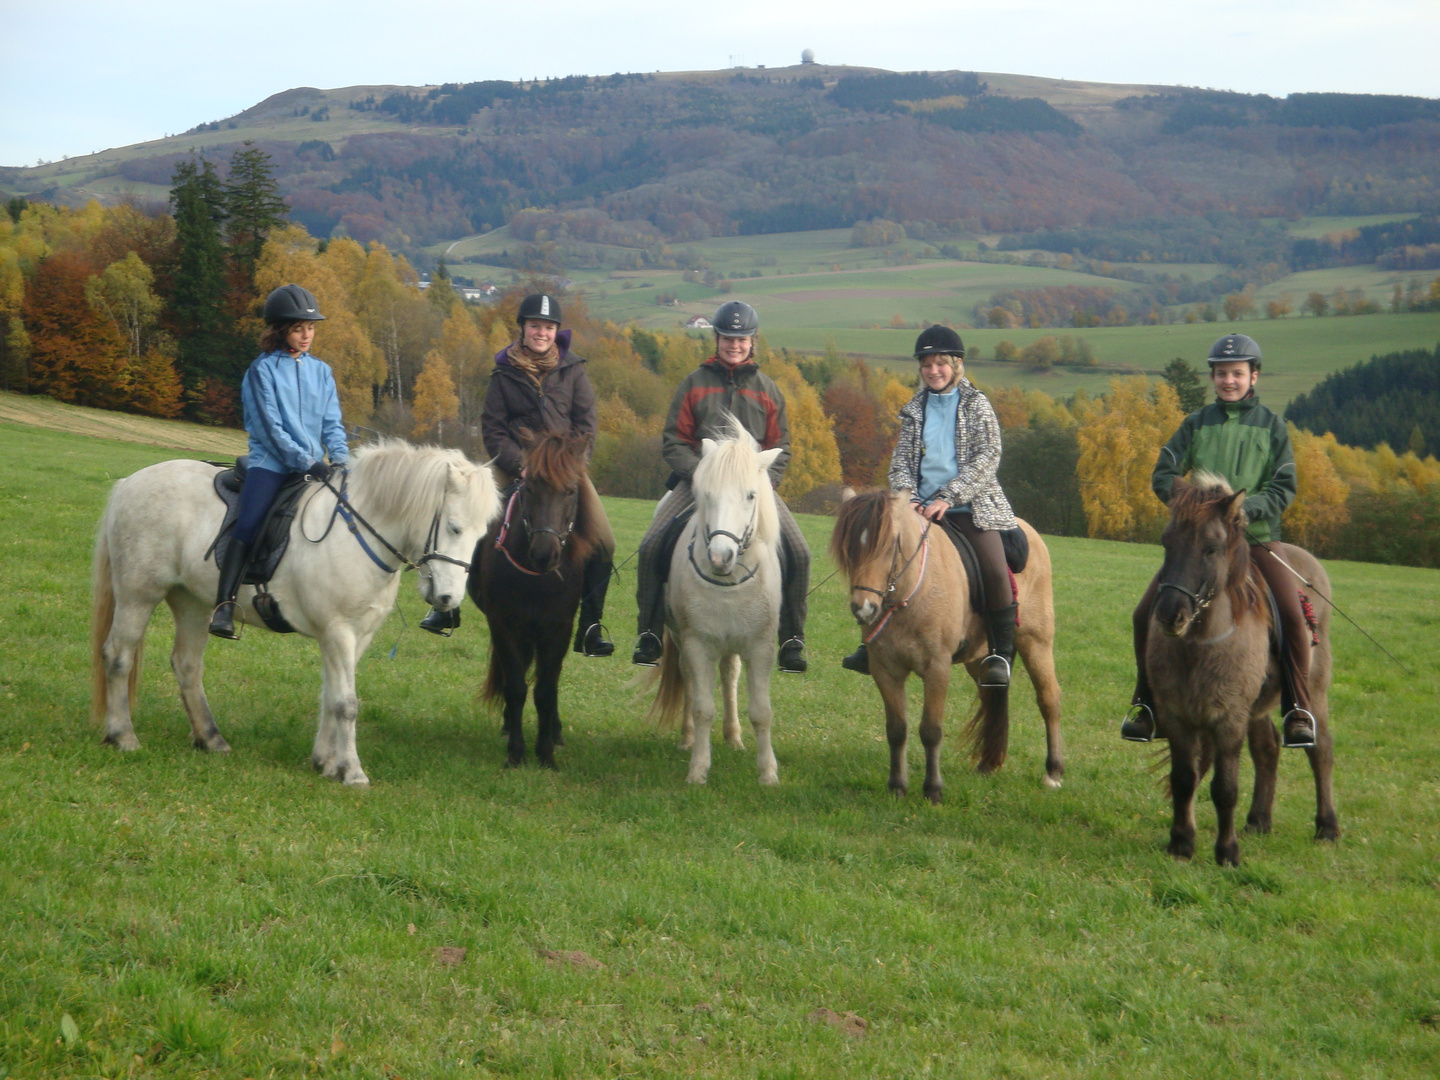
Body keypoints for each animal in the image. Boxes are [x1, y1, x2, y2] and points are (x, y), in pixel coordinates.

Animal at [92, 440, 501, 789]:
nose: (448, 599)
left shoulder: (356, 635)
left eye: (481, 535)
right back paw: (123, 735)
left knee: (187, 666)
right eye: (454, 527)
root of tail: (130, 484)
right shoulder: (337, 631)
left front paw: (327, 762)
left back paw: (211, 739)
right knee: (118, 656)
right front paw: (353, 772)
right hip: (139, 594)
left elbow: (331, 695)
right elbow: (346, 703)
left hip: (192, 601)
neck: (357, 533)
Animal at [469, 432, 599, 771]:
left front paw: (546, 753)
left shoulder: (557, 630)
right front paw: (516, 753)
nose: (544, 554)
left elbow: (546, 691)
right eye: (529, 488)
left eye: (571, 491)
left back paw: (555, 730)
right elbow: (516, 687)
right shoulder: (504, 626)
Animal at [650, 423, 783, 789]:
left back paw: (734, 737)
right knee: (690, 680)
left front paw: (768, 773)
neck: (728, 583)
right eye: (706, 494)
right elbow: (702, 707)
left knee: (729, 674)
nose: (721, 557)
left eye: (751, 495)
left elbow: (762, 711)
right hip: (682, 640)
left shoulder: (761, 646)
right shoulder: (698, 643)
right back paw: (687, 738)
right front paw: (698, 769)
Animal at [823, 492, 1071, 806]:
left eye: (891, 543)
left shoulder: (937, 668)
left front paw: (933, 790)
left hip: (1036, 641)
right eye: (849, 547)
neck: (911, 595)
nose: (864, 609)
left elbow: (931, 730)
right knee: (991, 697)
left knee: (1049, 699)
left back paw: (1054, 772)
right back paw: (987, 764)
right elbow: (896, 730)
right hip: (980, 659)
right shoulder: (885, 670)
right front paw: (897, 786)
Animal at [1146, 475, 1336, 869]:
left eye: (1211, 548)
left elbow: (1225, 788)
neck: (1200, 644)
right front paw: (1181, 843)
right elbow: (1184, 779)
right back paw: (1258, 820)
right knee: (1268, 749)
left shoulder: (1229, 719)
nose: (1171, 614)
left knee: (1321, 749)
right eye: (1167, 542)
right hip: (1258, 709)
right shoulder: (1176, 716)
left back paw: (1327, 827)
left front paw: (1227, 852)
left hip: (1314, 692)